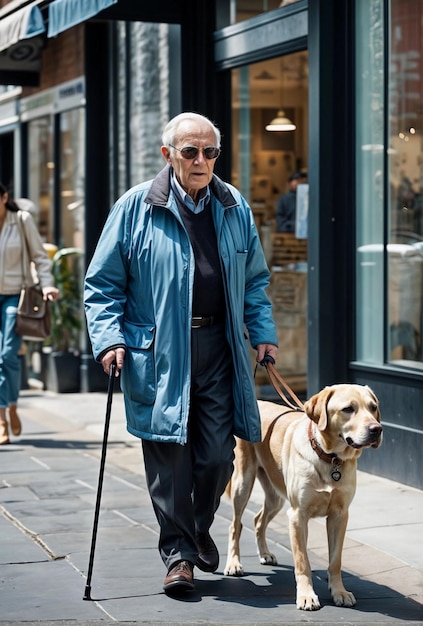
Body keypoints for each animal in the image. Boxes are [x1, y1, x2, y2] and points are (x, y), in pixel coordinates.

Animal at [225, 382, 384, 608]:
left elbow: (335, 561)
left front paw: (339, 592)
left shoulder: (339, 515)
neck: (330, 458)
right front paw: (306, 595)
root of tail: (257, 402)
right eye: (348, 409)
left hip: (275, 497)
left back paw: (264, 553)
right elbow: (302, 561)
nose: (376, 429)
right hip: (243, 484)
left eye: (373, 407)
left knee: (258, 520)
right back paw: (233, 563)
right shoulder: (298, 515)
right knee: (235, 525)